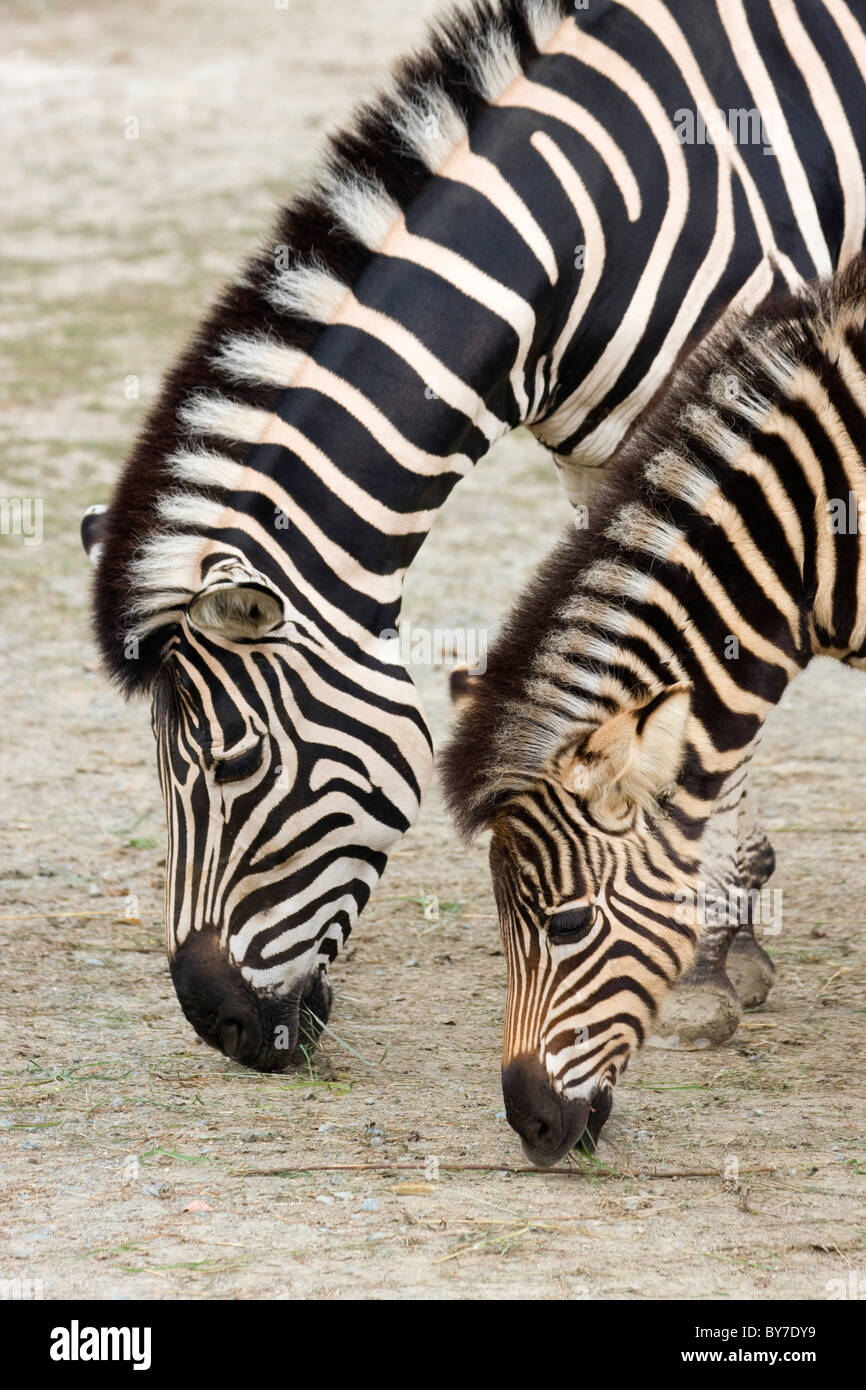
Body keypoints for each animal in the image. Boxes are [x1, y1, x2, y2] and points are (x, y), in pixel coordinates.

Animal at [83, 0, 866, 1073]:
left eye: (234, 764)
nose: (221, 1025)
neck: (591, 236)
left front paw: (707, 956)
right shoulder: (616, 468)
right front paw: (729, 929)